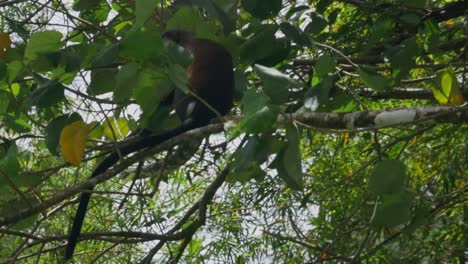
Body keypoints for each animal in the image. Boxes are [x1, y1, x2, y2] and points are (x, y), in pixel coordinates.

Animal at [66, 29, 234, 258]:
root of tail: (201, 115)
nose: (160, 45)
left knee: (178, 90)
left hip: (185, 103)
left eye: (164, 40)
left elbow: (172, 86)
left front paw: (145, 129)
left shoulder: (179, 54)